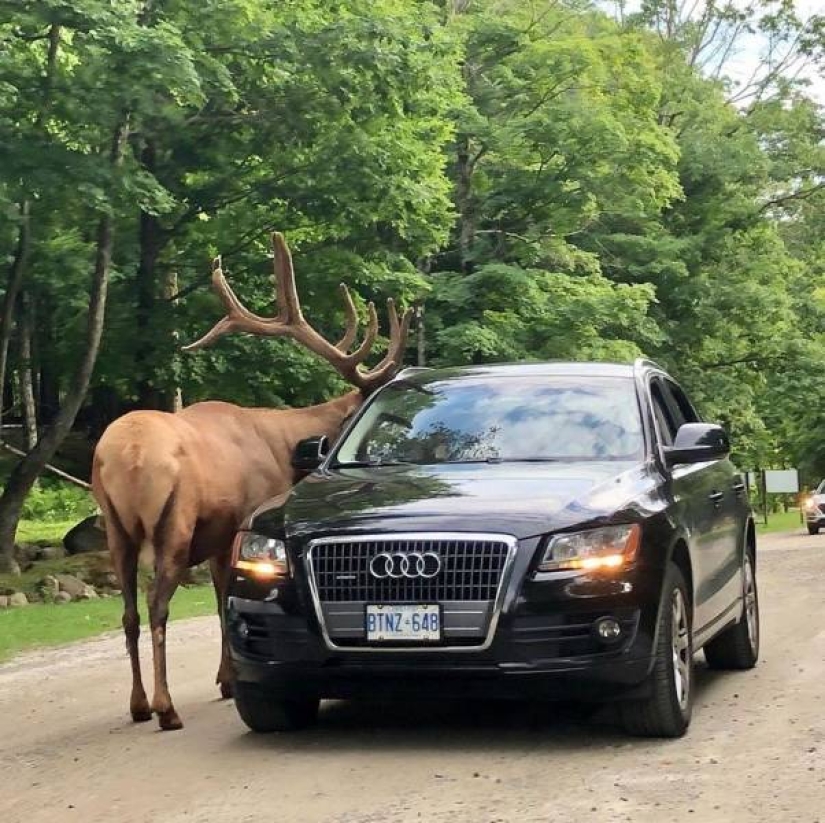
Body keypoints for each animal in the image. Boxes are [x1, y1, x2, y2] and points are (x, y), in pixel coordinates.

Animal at [91, 235, 410, 732]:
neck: (281, 448)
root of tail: (128, 457)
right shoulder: (239, 522)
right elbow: (225, 598)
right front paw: (226, 680)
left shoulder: (221, 534)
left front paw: (224, 678)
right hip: (173, 521)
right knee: (156, 603)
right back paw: (166, 708)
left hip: (114, 528)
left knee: (127, 610)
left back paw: (139, 704)